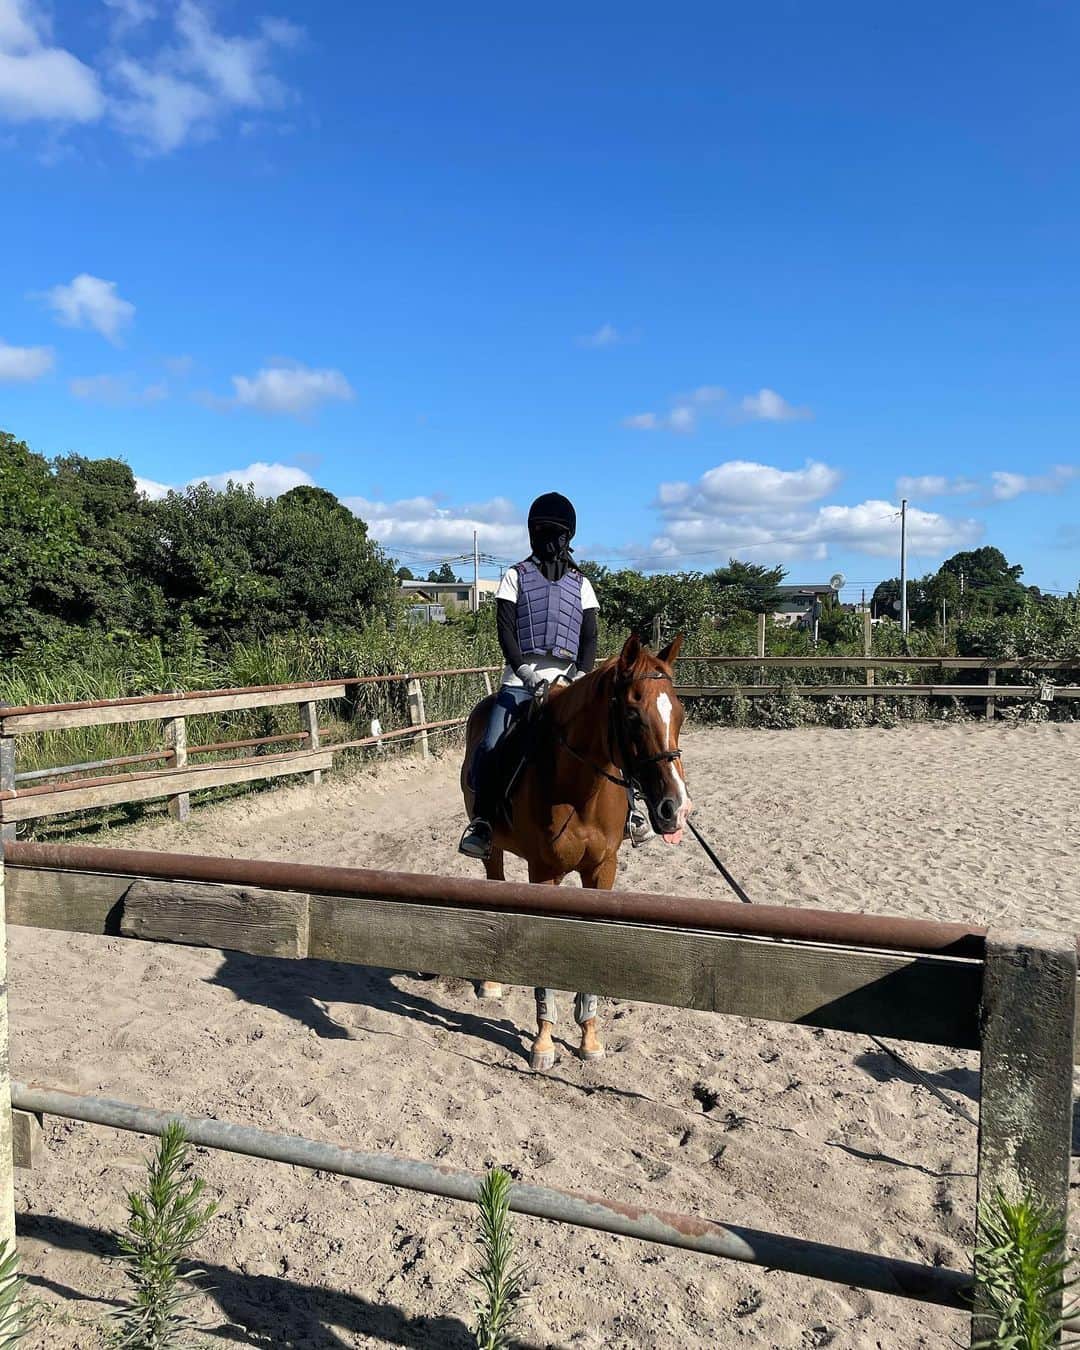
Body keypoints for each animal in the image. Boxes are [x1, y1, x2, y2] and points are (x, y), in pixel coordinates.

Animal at [459, 631, 693, 1070]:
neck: (579, 789)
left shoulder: (602, 871)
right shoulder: (543, 873)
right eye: (632, 716)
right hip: (492, 847)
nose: (677, 808)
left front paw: (589, 1037)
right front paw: (543, 1043)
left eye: (681, 714)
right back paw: (493, 982)